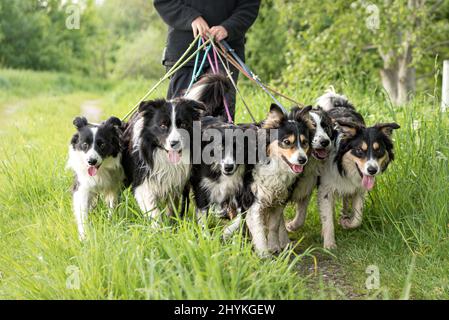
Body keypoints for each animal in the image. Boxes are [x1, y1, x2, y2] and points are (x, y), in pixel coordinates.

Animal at [121, 97, 204, 225]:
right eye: (163, 125)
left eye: (183, 124)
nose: (174, 143)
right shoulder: (143, 183)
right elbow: (153, 211)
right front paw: (159, 227)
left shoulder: (174, 183)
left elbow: (171, 207)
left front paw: (171, 224)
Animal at [243, 105, 310, 258]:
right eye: (287, 142)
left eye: (304, 143)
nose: (303, 160)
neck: (274, 167)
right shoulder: (255, 202)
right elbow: (259, 230)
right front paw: (264, 254)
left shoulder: (280, 200)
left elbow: (273, 225)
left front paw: (274, 246)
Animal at [316, 91, 400, 249]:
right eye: (360, 151)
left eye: (379, 151)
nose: (372, 170)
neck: (343, 167)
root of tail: (341, 105)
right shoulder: (325, 188)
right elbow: (327, 216)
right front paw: (329, 244)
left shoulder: (359, 189)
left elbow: (358, 217)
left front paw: (346, 222)